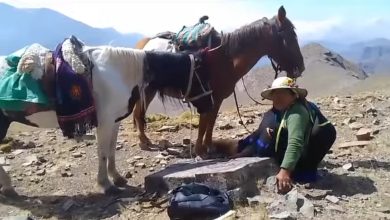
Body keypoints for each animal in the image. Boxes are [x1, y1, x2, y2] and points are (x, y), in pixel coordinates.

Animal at [134, 6, 304, 157]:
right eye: (289, 36)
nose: (300, 68)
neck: (226, 59)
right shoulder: (206, 98)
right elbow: (204, 124)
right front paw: (200, 151)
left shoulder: (217, 99)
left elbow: (211, 123)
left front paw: (209, 147)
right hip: (147, 91)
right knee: (138, 113)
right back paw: (144, 142)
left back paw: (146, 141)